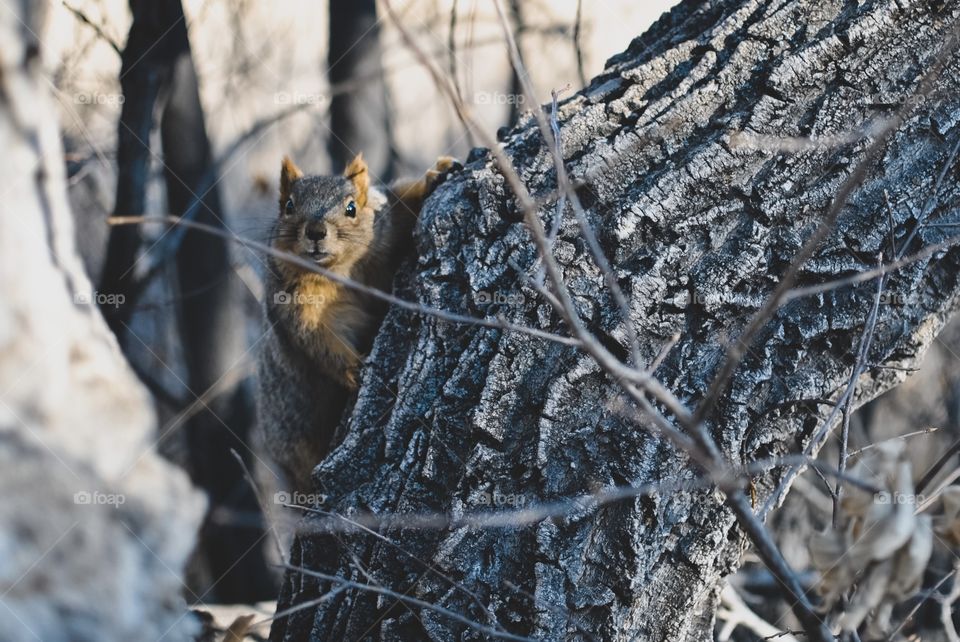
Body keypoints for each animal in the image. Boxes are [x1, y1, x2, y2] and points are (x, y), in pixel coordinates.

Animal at [258, 153, 458, 491]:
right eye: (289, 206)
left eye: (351, 208)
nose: (315, 231)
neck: (340, 270)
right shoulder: (298, 308)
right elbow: (319, 342)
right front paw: (356, 370)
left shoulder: (385, 225)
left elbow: (401, 203)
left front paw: (437, 173)